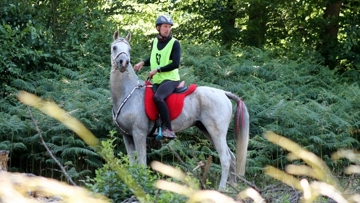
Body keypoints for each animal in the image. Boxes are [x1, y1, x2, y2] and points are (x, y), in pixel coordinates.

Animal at [111, 30, 249, 190]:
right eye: (114, 47)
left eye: (129, 50)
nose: (123, 63)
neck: (128, 93)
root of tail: (223, 93)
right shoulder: (127, 136)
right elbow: (133, 164)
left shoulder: (139, 134)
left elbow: (142, 164)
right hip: (206, 130)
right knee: (232, 157)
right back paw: (232, 188)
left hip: (216, 132)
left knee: (225, 159)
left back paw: (221, 190)